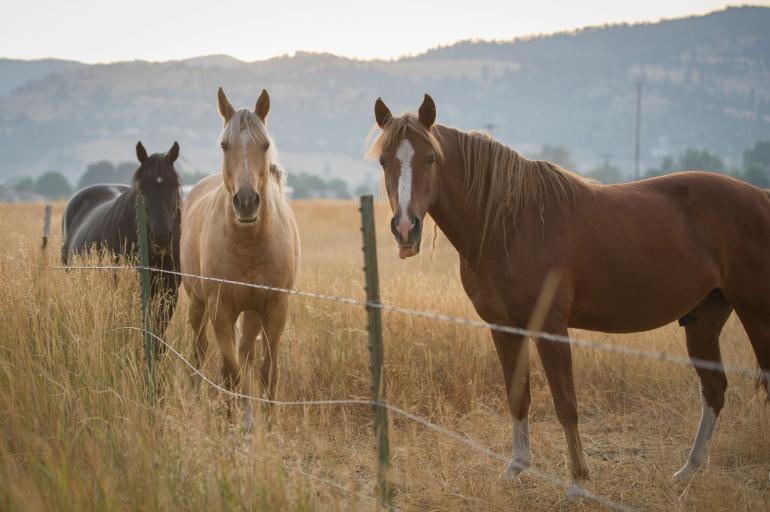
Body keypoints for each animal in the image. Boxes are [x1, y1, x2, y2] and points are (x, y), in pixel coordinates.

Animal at [180, 88, 300, 430]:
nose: (246, 202)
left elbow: (267, 370)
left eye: (265, 145)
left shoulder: (274, 308)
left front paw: (268, 425)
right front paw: (233, 421)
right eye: (224, 145)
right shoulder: (220, 308)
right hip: (198, 302)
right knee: (200, 351)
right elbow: (230, 371)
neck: (250, 243)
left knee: (246, 353)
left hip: (251, 312)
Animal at [368, 94, 770, 489]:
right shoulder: (504, 328)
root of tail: (762, 197)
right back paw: (689, 469)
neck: (509, 224)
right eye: (384, 161)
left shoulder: (551, 328)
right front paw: (516, 467)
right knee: (714, 389)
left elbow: (566, 404)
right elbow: (518, 396)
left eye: (431, 158)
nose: (405, 228)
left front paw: (578, 480)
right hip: (705, 317)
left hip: (756, 313)